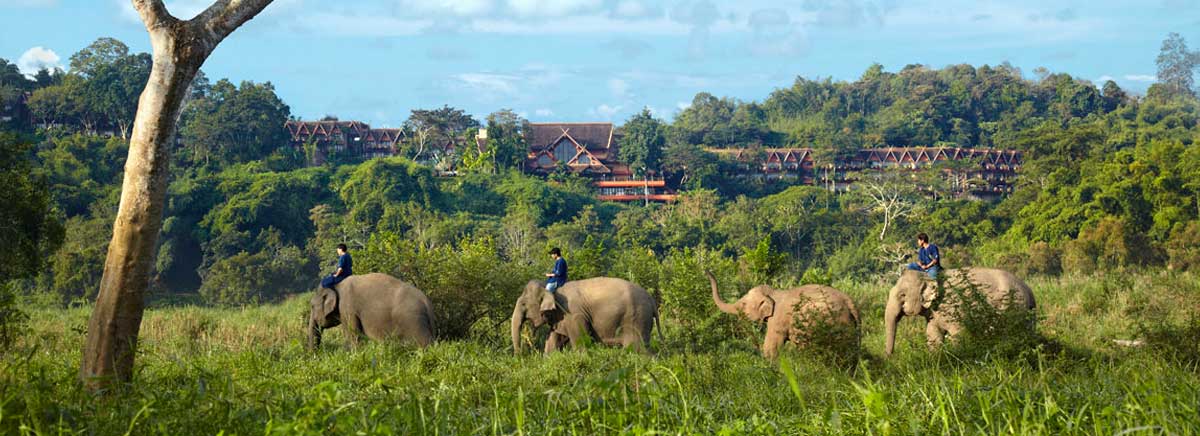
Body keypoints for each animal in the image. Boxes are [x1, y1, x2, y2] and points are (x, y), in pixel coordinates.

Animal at [513, 279, 667, 355]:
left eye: (523, 304)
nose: (520, 356)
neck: (552, 290)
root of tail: (651, 299)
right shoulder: (560, 317)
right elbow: (553, 341)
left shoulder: (574, 315)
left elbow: (581, 343)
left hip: (636, 318)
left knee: (636, 349)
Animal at [700, 273, 864, 357]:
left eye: (744, 304)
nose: (707, 271)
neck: (773, 292)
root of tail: (850, 303)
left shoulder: (777, 320)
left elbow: (771, 347)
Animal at [883, 267, 1041, 357]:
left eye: (902, 295)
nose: (890, 358)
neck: (927, 276)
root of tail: (1029, 290)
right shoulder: (935, 313)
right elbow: (933, 335)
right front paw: (935, 359)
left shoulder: (953, 307)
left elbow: (958, 334)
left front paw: (956, 355)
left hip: (1014, 308)